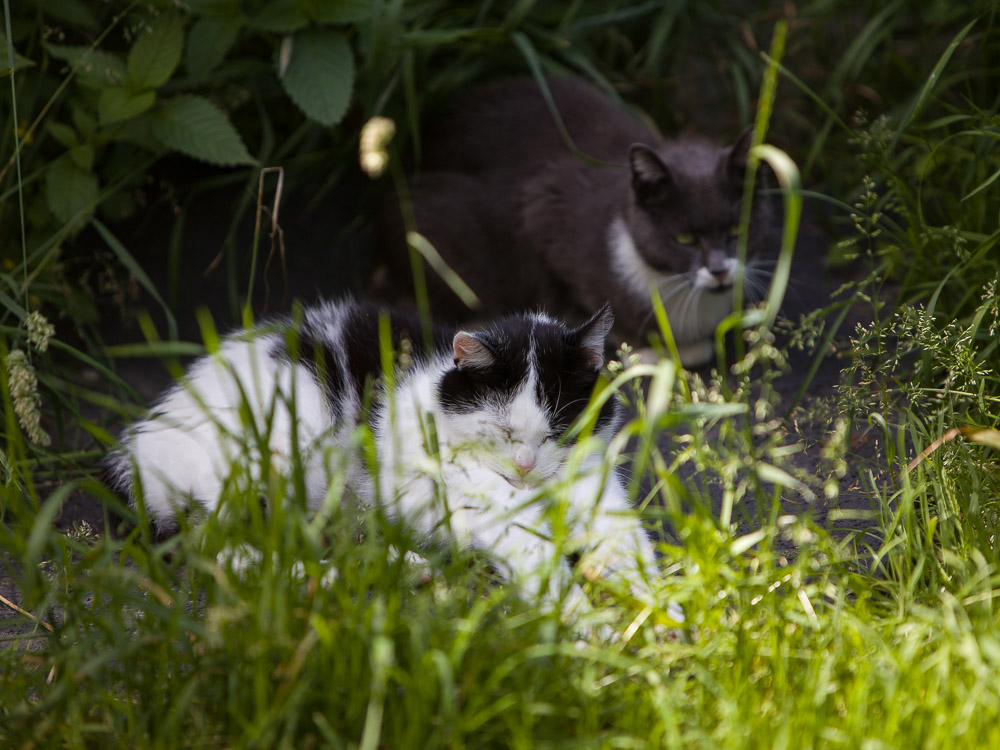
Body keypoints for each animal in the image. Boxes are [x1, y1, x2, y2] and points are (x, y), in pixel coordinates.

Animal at [105, 300, 672, 624]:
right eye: (501, 431)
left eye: (559, 432)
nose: (526, 466)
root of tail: (141, 446)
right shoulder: (470, 505)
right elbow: (537, 557)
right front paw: (587, 625)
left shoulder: (599, 494)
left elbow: (629, 547)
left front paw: (664, 614)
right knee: (235, 555)